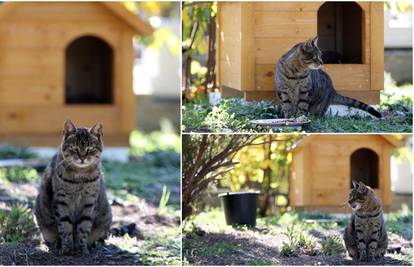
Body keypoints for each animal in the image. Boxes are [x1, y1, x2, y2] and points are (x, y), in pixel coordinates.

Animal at [34, 121, 111, 255]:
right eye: (74, 148)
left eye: (90, 149)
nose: (82, 158)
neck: (80, 177)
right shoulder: (62, 201)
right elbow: (65, 226)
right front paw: (68, 248)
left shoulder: (89, 202)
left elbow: (84, 227)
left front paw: (82, 249)